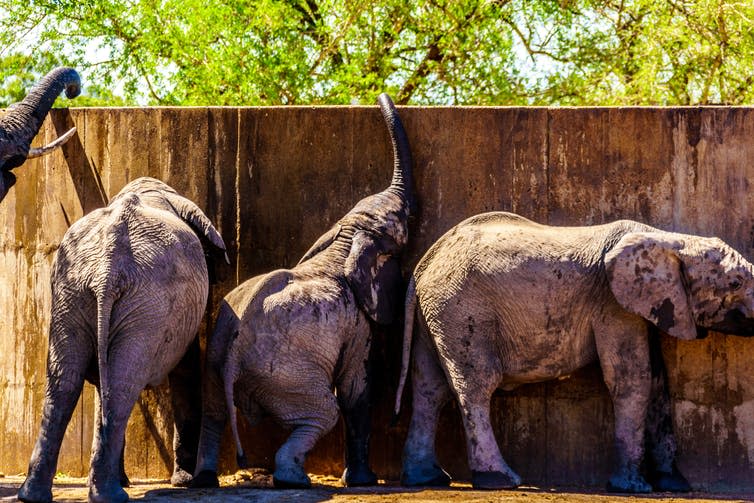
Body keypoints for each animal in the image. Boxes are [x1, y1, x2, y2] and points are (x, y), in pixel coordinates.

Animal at [18, 177, 226, 503]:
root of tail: (107, 266)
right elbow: (186, 371)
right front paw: (185, 482)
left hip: (72, 293)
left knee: (67, 383)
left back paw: (36, 495)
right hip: (146, 301)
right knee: (120, 385)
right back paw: (112, 495)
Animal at [187, 92, 412, 490]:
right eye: (404, 218)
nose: (378, 97)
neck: (344, 240)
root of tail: (233, 358)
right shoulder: (356, 322)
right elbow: (355, 389)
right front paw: (364, 481)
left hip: (215, 362)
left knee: (212, 414)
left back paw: (206, 481)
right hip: (287, 375)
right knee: (324, 412)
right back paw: (294, 480)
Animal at [394, 212, 754, 492]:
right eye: (735, 284)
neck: (669, 240)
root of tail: (424, 264)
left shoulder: (646, 307)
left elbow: (656, 379)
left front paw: (674, 484)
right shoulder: (612, 304)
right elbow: (631, 380)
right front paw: (633, 488)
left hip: (437, 314)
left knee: (429, 389)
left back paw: (428, 478)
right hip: (462, 311)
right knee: (476, 385)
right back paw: (499, 479)